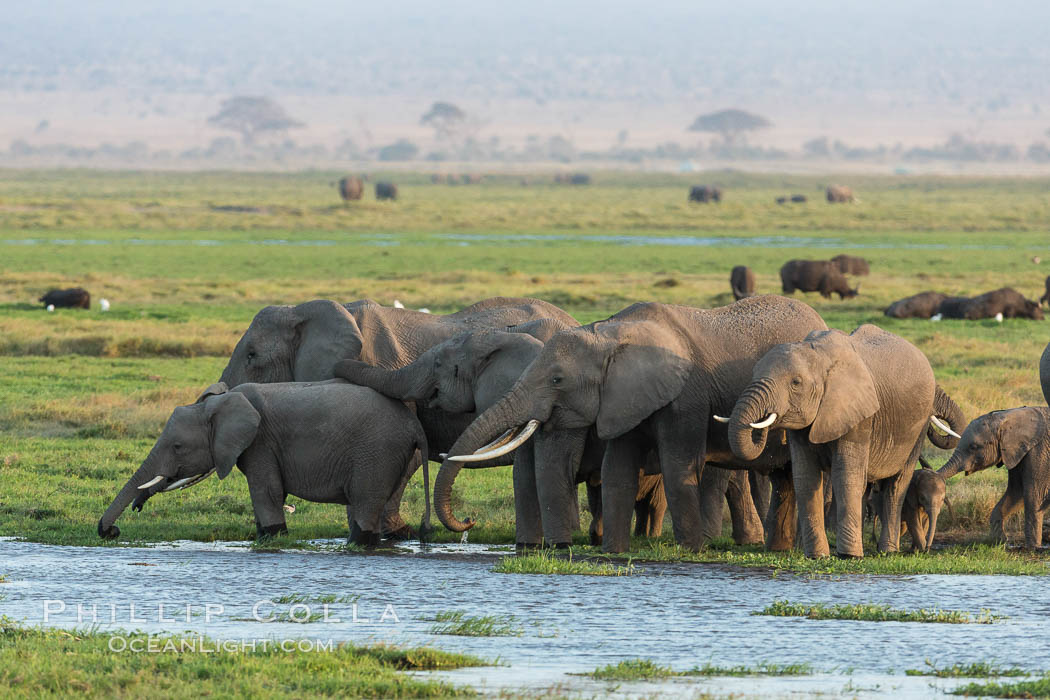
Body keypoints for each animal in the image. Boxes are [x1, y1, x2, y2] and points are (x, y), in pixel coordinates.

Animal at [96, 379, 426, 545]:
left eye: (178, 447)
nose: (112, 532)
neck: (218, 404)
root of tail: (413, 424)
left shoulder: (261, 442)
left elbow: (266, 490)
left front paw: (273, 537)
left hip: (376, 452)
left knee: (365, 501)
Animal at [434, 295, 827, 554]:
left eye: (558, 380)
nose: (469, 522)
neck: (608, 335)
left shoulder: (686, 393)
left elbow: (677, 465)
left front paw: (690, 552)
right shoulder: (624, 396)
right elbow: (617, 471)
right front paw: (613, 552)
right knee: (783, 479)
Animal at [726, 325, 961, 558]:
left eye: (796, 383)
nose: (763, 424)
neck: (820, 355)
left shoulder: (860, 415)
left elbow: (846, 476)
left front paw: (850, 556)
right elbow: (806, 477)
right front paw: (817, 556)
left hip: (916, 428)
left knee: (897, 485)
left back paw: (887, 551)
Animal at [936, 407, 1050, 549]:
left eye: (973, 447)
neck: (1008, 416)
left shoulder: (1039, 452)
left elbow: (1034, 495)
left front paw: (1033, 547)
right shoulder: (1016, 454)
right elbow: (1016, 493)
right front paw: (1000, 542)